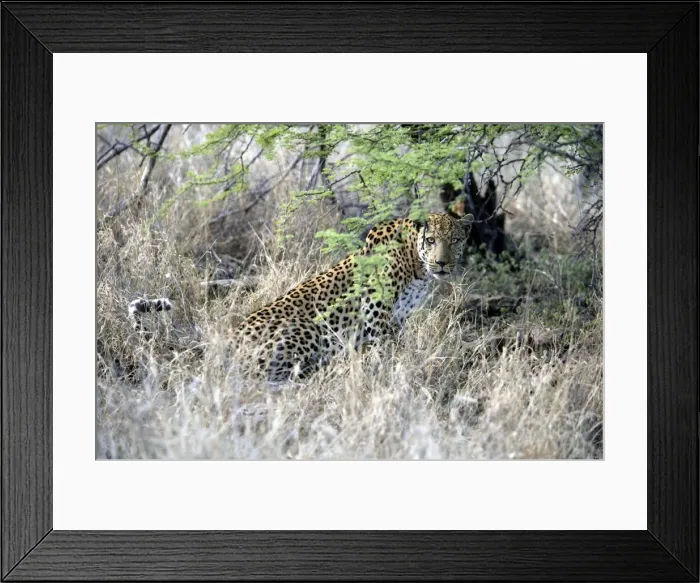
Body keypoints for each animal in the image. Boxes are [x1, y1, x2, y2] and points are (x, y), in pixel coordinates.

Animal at [129, 212, 473, 383]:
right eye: (431, 240)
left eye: (455, 241)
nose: (443, 263)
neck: (415, 265)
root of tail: (226, 339)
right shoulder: (376, 316)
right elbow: (385, 355)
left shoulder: (397, 319)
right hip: (306, 329)